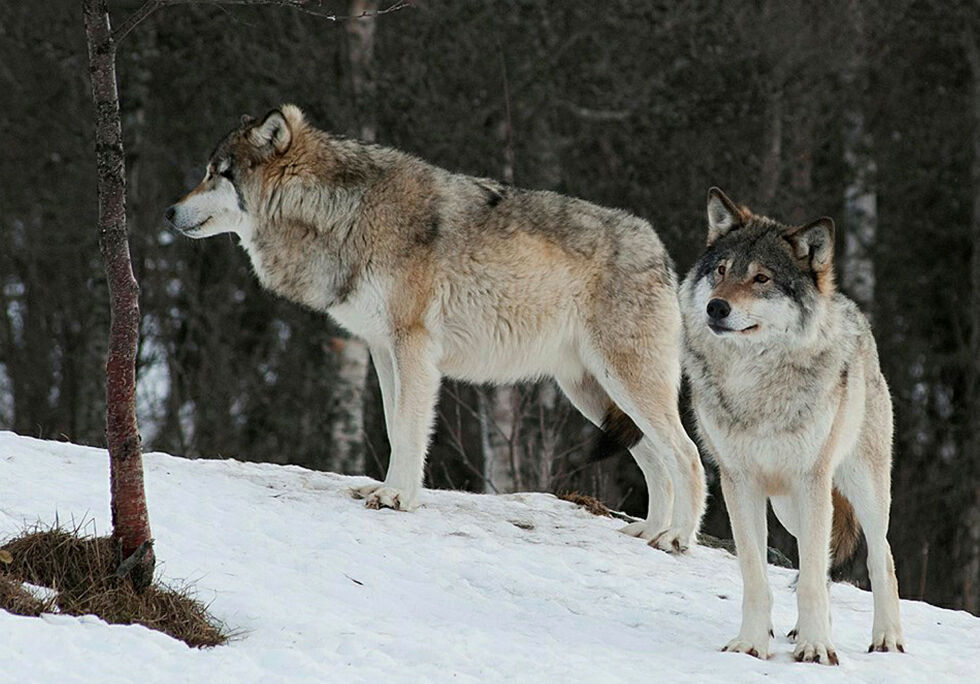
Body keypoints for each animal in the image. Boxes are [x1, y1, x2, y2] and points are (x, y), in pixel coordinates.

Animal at [167, 104, 704, 552]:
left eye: (216, 173)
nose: (168, 212)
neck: (343, 212)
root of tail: (662, 251)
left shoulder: (413, 347)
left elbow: (408, 427)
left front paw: (398, 499)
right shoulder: (382, 350)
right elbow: (392, 425)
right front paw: (387, 488)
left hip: (625, 385)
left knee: (689, 455)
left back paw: (677, 538)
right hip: (592, 394)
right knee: (657, 461)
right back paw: (649, 532)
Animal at [680, 187, 904, 664]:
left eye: (762, 279)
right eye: (722, 271)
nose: (715, 307)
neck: (754, 384)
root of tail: (851, 307)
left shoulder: (810, 480)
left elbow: (818, 578)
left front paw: (817, 649)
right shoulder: (739, 481)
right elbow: (756, 575)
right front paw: (751, 643)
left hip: (860, 488)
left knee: (881, 557)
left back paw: (887, 638)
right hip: (789, 506)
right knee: (817, 563)